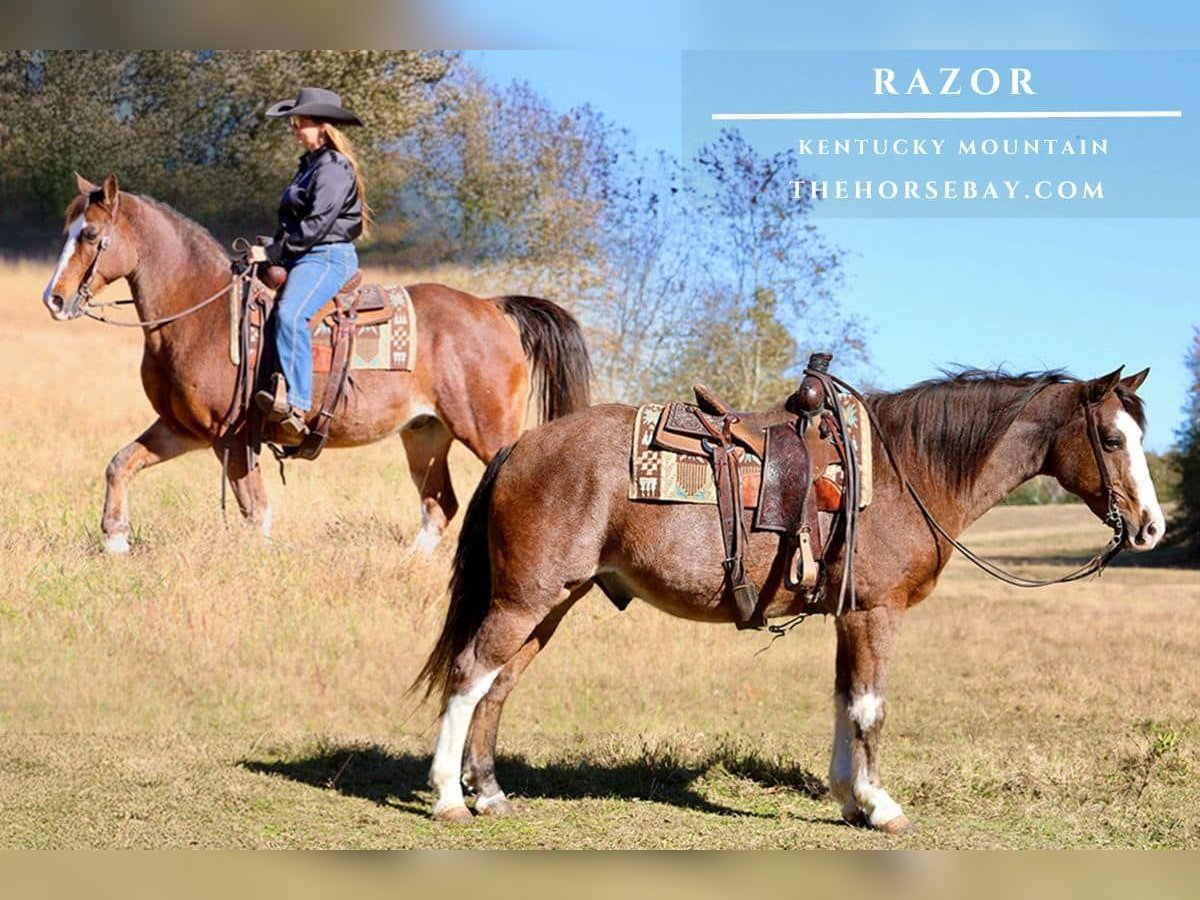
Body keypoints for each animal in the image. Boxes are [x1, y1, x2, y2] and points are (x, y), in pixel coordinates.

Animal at [41, 174, 591, 553]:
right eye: (66, 230)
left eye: (89, 235)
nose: (55, 298)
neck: (203, 314)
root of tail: (493, 308)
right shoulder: (185, 429)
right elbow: (121, 464)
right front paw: (115, 540)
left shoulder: (232, 439)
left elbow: (255, 510)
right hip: (426, 435)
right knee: (439, 504)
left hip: (487, 431)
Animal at [412, 366, 1165, 830]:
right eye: (1111, 438)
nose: (1153, 527)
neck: (903, 471)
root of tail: (519, 446)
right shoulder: (875, 613)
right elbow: (870, 708)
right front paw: (880, 804)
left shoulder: (848, 615)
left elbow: (843, 701)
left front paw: (848, 799)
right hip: (524, 600)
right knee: (469, 674)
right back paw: (449, 796)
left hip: (550, 604)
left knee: (498, 687)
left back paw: (491, 794)